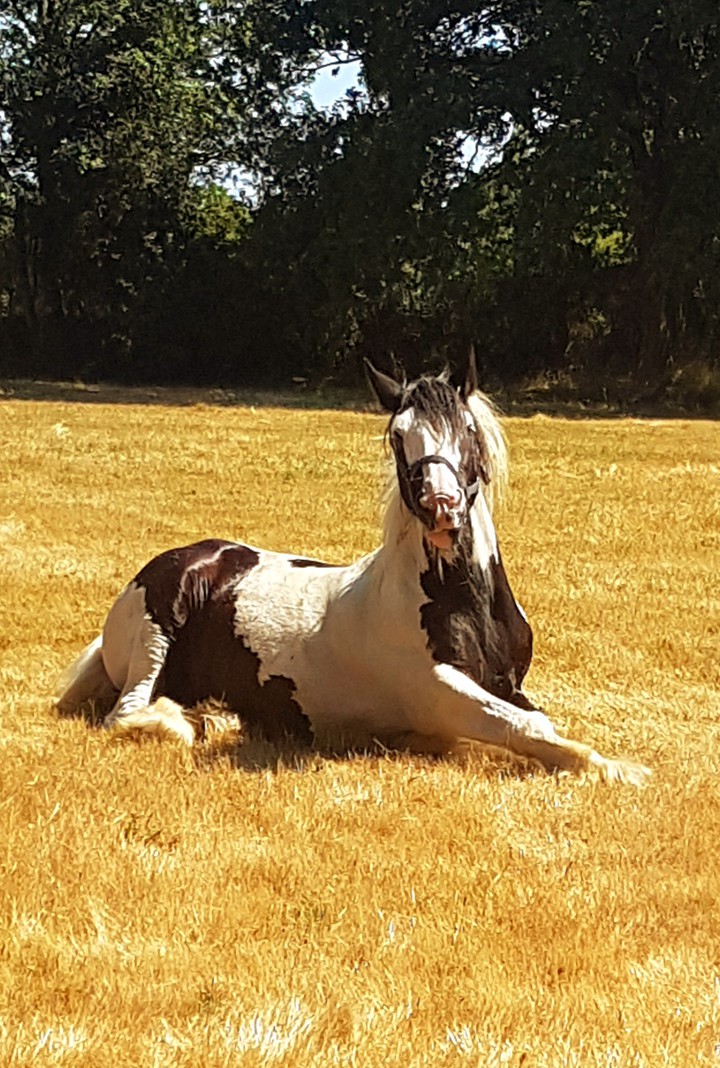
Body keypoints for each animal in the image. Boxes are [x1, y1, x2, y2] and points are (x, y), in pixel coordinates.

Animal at [56, 357, 650, 783]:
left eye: (466, 429)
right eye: (398, 436)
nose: (441, 507)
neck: (460, 601)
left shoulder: (509, 683)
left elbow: (538, 720)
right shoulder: (440, 691)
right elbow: (524, 726)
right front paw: (619, 770)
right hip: (155, 640)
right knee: (130, 712)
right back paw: (200, 720)